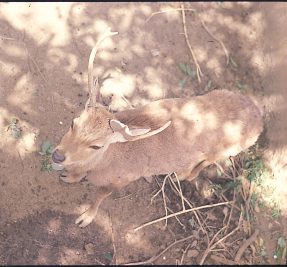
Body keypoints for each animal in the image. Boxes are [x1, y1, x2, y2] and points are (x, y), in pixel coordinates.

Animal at [51, 28, 264, 228]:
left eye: (97, 146)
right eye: (73, 123)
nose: (58, 155)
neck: (102, 165)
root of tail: (260, 120)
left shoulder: (123, 179)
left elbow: (100, 196)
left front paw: (85, 218)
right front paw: (68, 177)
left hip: (227, 151)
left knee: (203, 164)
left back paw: (178, 176)